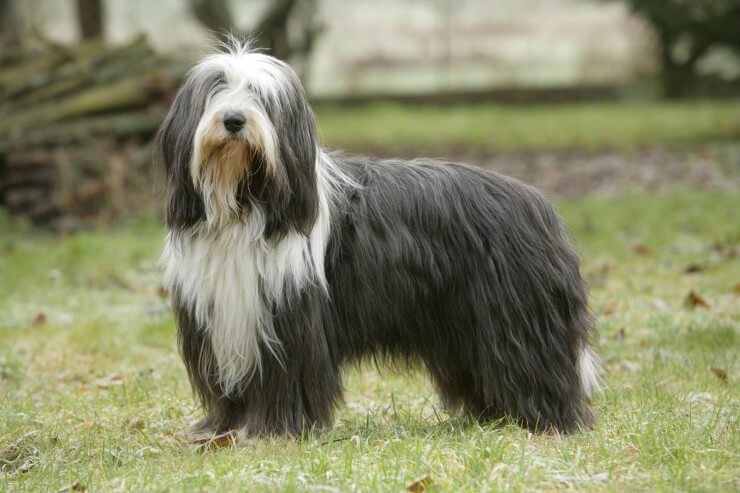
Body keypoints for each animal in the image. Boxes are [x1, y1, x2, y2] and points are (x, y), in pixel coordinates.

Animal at [156, 39, 600, 438]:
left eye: (262, 98)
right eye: (215, 90)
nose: (233, 119)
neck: (244, 204)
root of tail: (538, 203)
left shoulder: (289, 319)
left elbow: (286, 378)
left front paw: (272, 430)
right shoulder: (222, 317)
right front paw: (222, 429)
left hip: (516, 316)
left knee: (536, 365)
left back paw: (547, 420)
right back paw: (495, 415)